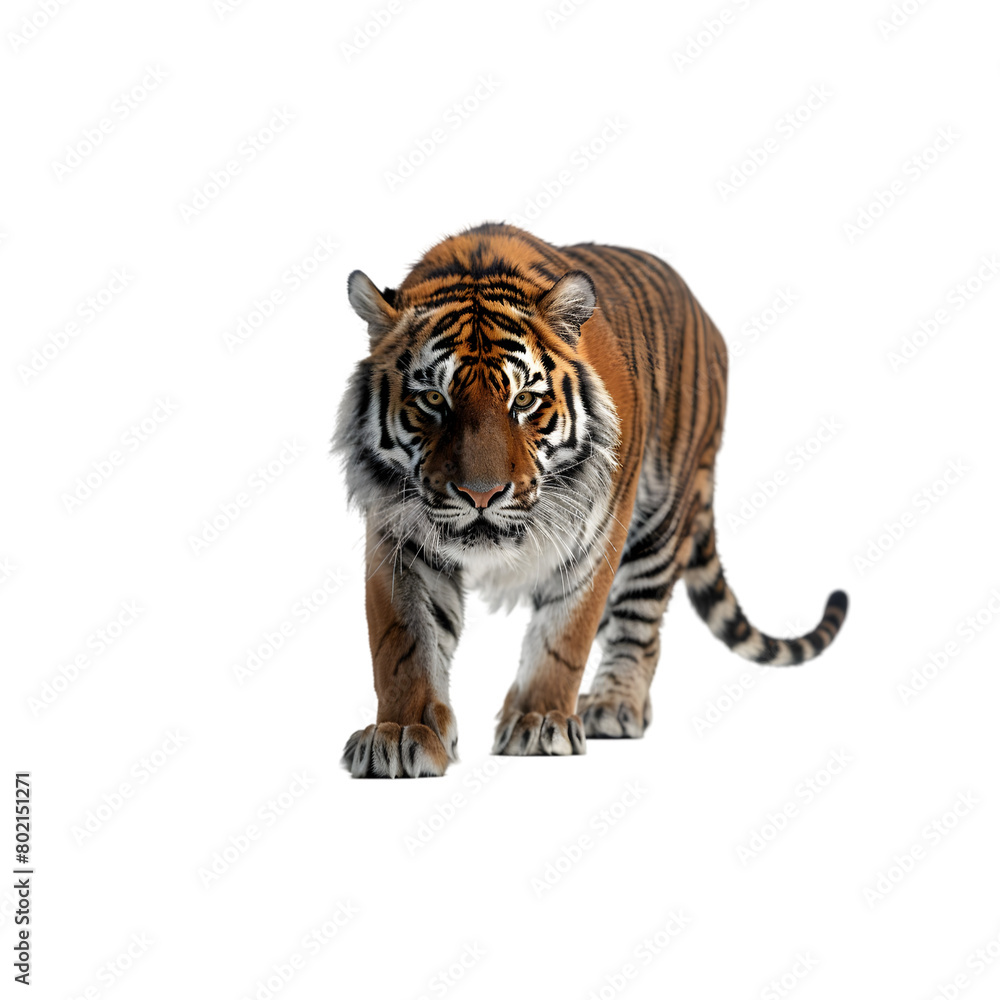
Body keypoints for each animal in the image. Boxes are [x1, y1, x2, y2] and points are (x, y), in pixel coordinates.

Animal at [334, 222, 848, 778]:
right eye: (433, 399)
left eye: (524, 400)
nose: (481, 493)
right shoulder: (399, 535)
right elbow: (404, 642)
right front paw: (401, 732)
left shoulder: (596, 536)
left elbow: (564, 636)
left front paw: (539, 722)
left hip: (662, 520)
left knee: (640, 626)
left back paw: (613, 705)